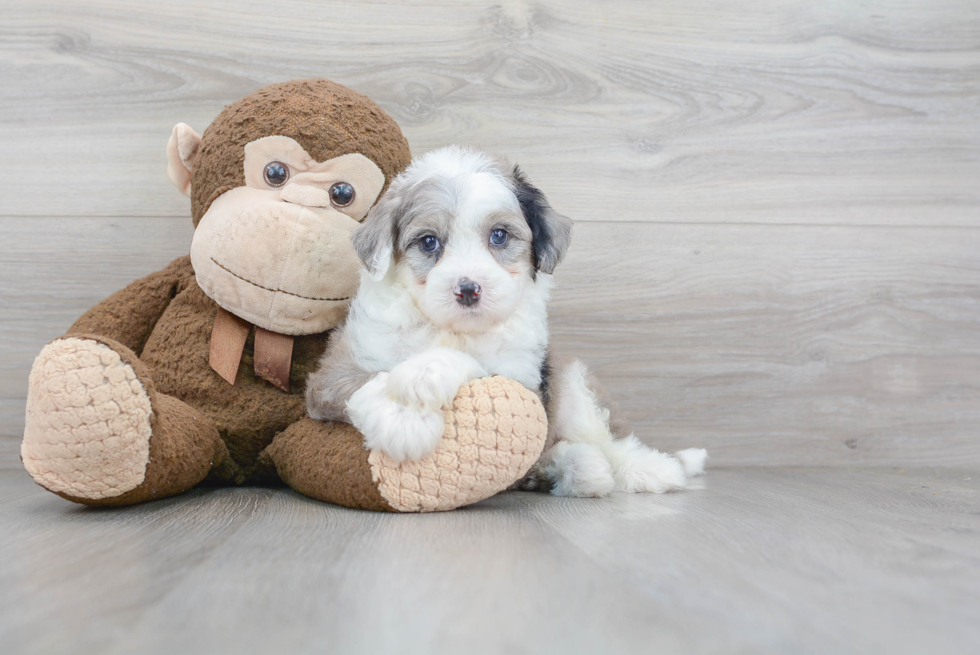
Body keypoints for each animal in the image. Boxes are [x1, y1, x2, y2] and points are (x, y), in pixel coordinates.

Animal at [306, 147, 704, 498]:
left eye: (499, 235)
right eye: (429, 242)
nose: (468, 289)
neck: (453, 329)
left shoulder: (521, 381)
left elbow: (476, 367)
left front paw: (421, 380)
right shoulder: (336, 371)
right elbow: (366, 379)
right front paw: (404, 419)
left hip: (572, 385)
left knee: (607, 438)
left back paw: (651, 468)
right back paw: (579, 468)